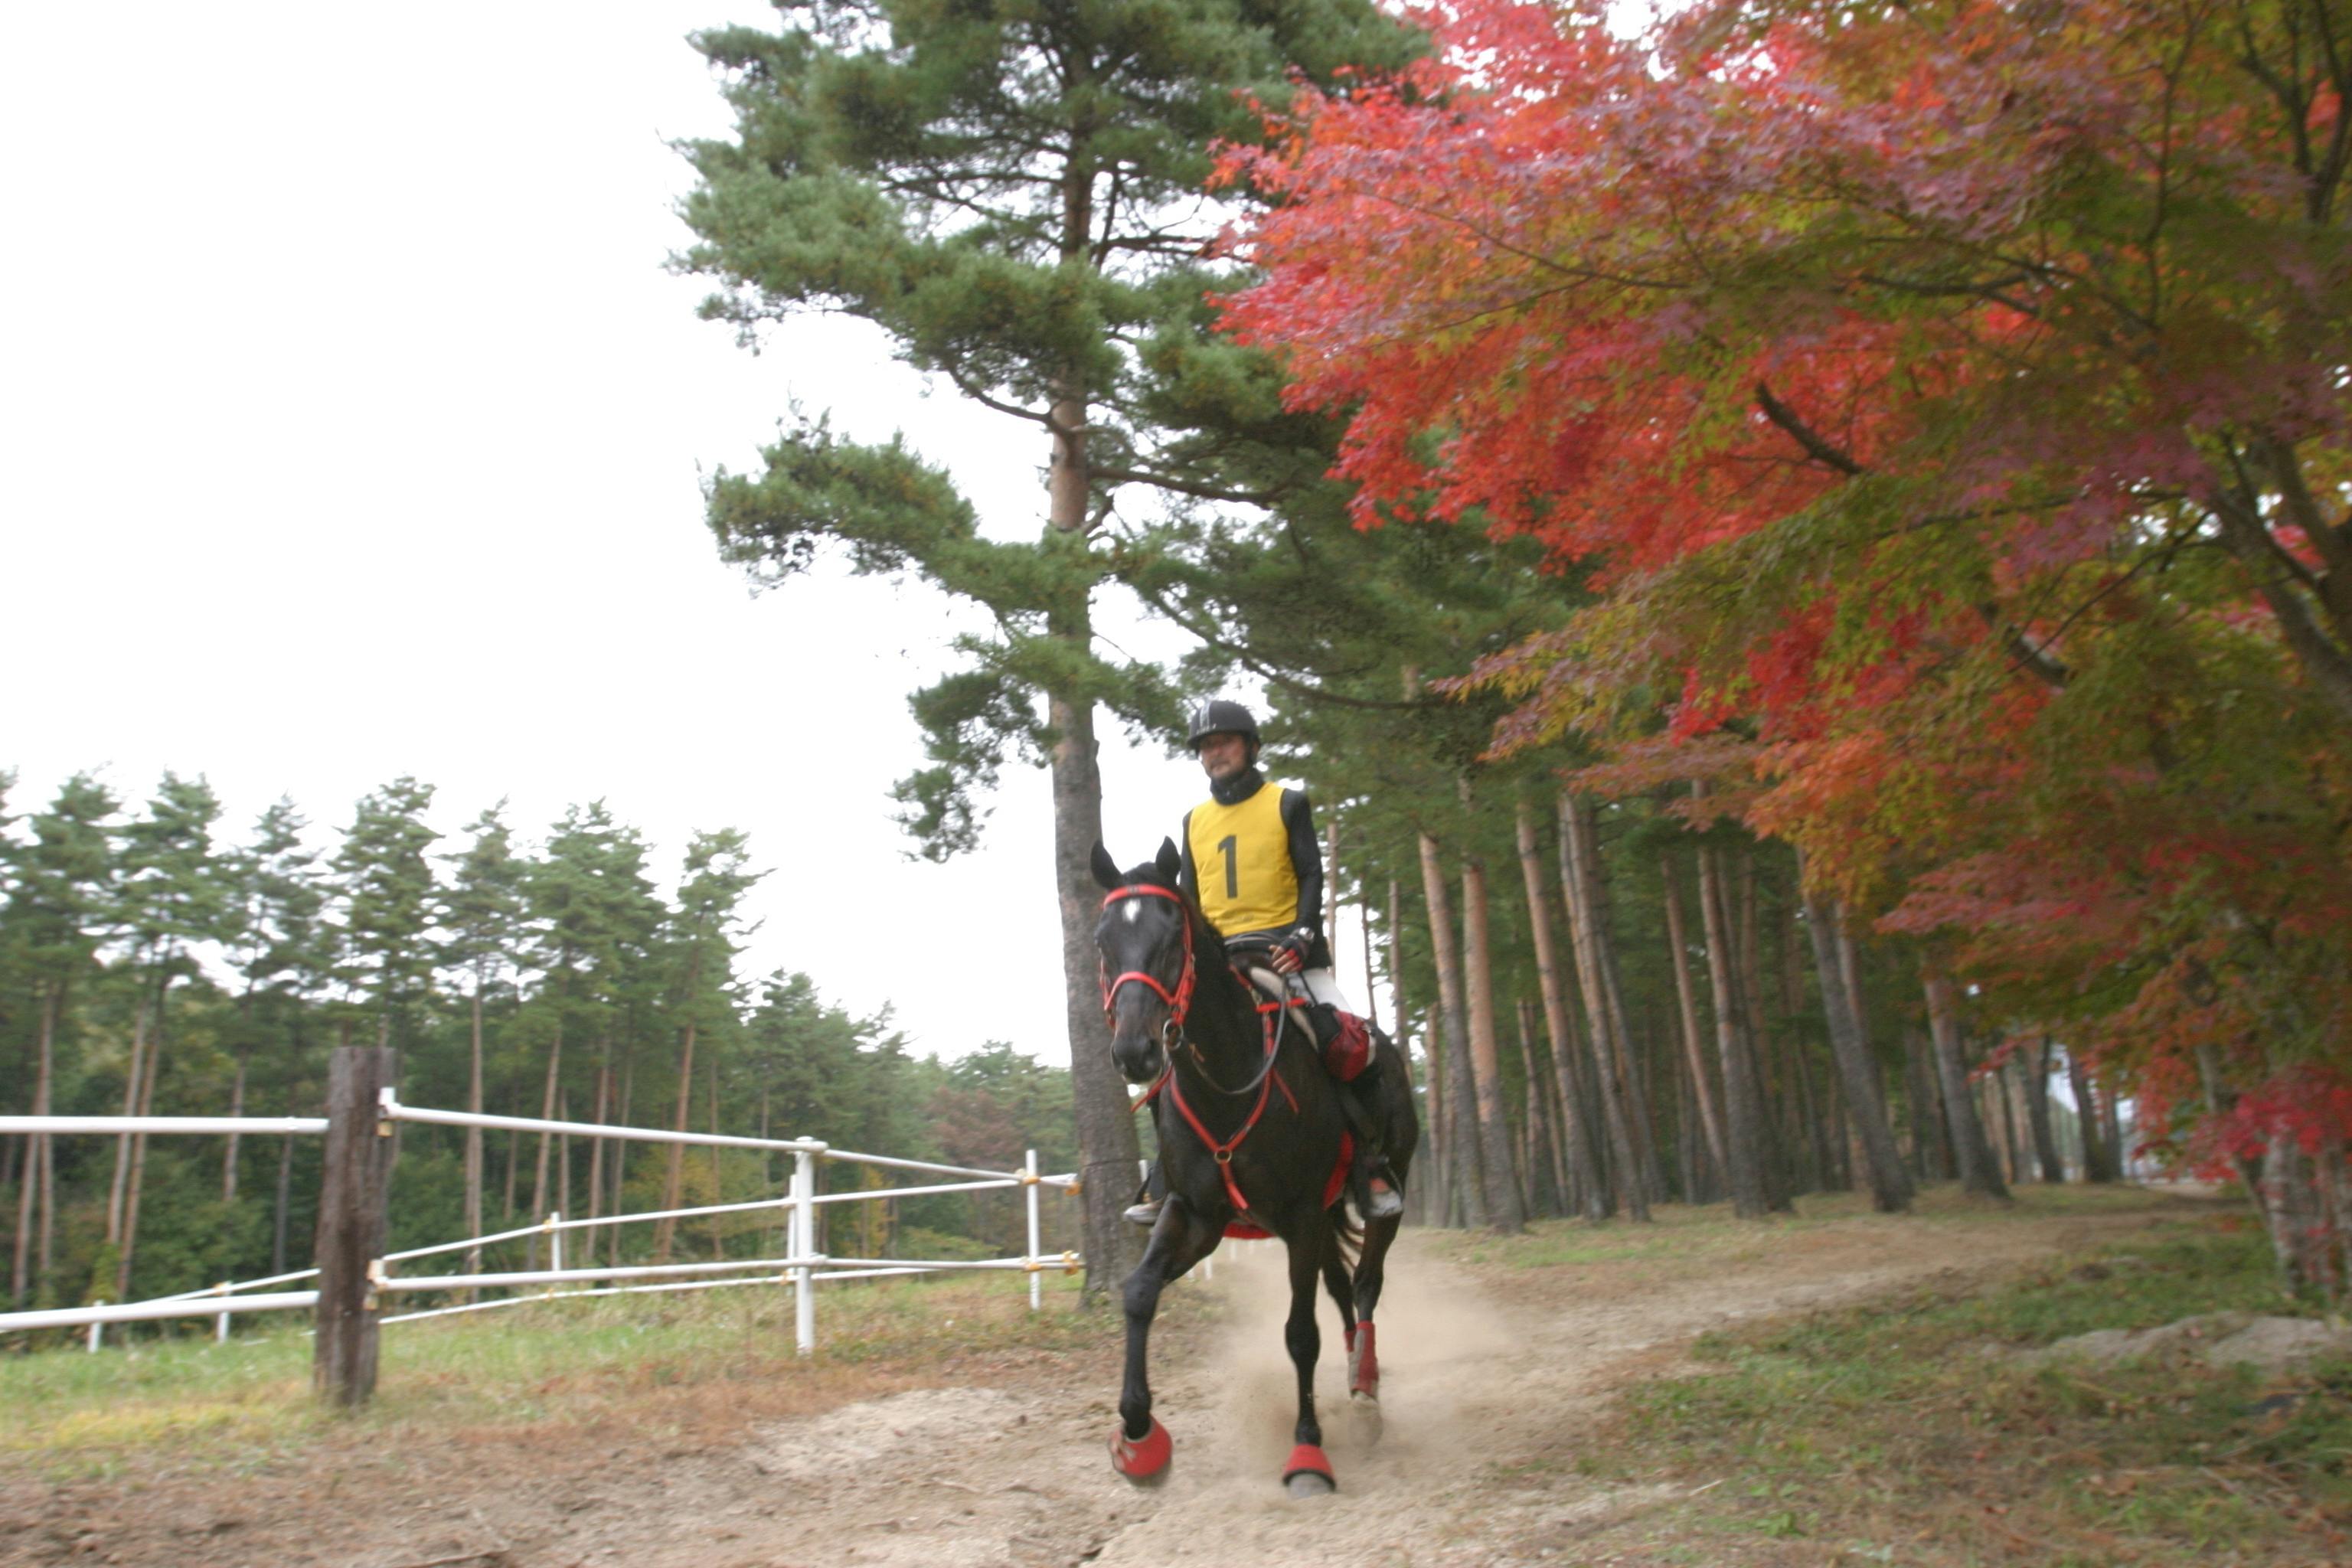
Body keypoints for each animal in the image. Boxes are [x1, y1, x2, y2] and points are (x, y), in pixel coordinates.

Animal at [1090, 838, 1417, 1497]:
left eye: (1173, 938)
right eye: (1103, 940)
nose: (1136, 1051)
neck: (1226, 1081)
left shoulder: (1299, 1215)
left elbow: (1300, 1334)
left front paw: (1308, 1451)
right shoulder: (1195, 1215)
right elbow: (1138, 1293)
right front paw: (1140, 1439)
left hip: (1375, 1200)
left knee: (1365, 1284)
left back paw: (1365, 1389)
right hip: (1315, 1223)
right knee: (1340, 1287)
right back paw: (1356, 1377)